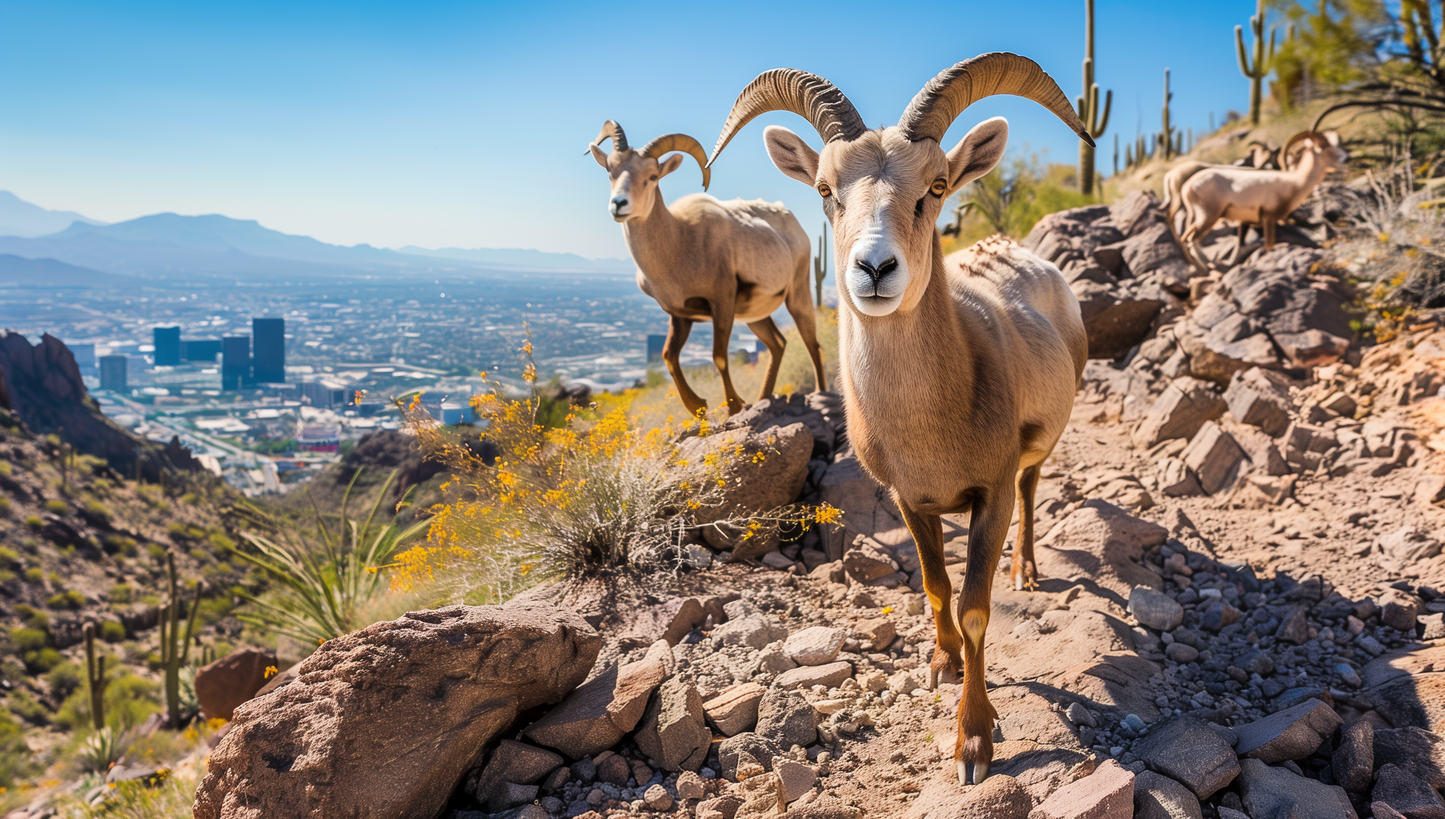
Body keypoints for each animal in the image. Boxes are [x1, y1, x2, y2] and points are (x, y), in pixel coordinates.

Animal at [586, 119, 826, 416]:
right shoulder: (680, 315)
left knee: (812, 344)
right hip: (755, 316)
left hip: (798, 295)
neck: (680, 242)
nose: (619, 204)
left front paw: (734, 406)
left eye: (652, 176)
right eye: (610, 170)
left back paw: (819, 394)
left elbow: (719, 356)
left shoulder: (721, 303)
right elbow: (669, 356)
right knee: (778, 345)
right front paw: (698, 406)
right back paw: (763, 398)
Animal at [705, 52, 1086, 785]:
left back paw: (1026, 571)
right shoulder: (912, 500)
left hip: (1035, 457)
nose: (874, 268)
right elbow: (936, 588)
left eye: (934, 187)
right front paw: (941, 664)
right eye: (825, 189)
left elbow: (974, 608)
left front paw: (973, 743)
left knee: (1033, 489)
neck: (932, 420)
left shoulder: (989, 494)